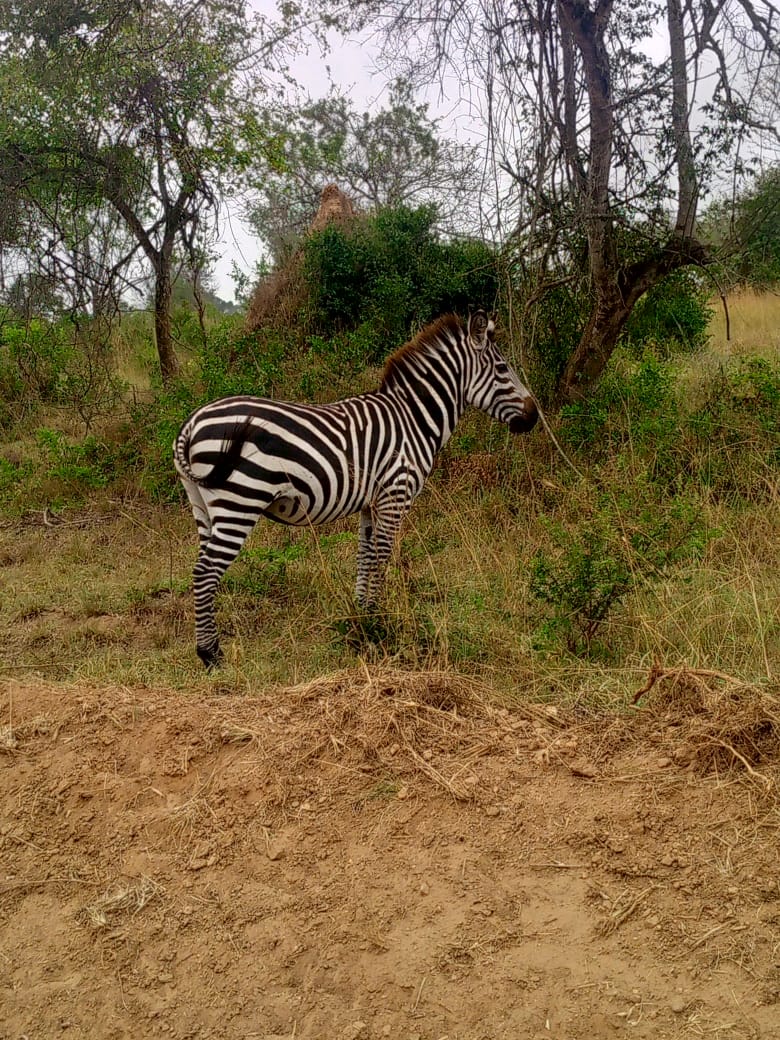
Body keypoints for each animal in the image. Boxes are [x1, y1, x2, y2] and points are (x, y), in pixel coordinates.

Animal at [173, 310, 538, 668]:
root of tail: (193, 421)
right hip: (240, 501)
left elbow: (365, 557)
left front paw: (363, 619)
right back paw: (210, 655)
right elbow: (381, 557)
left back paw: (209, 648)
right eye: (503, 369)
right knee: (205, 573)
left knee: (200, 570)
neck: (414, 420)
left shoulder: (370, 503)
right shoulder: (394, 494)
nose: (534, 417)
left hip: (203, 506)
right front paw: (379, 624)